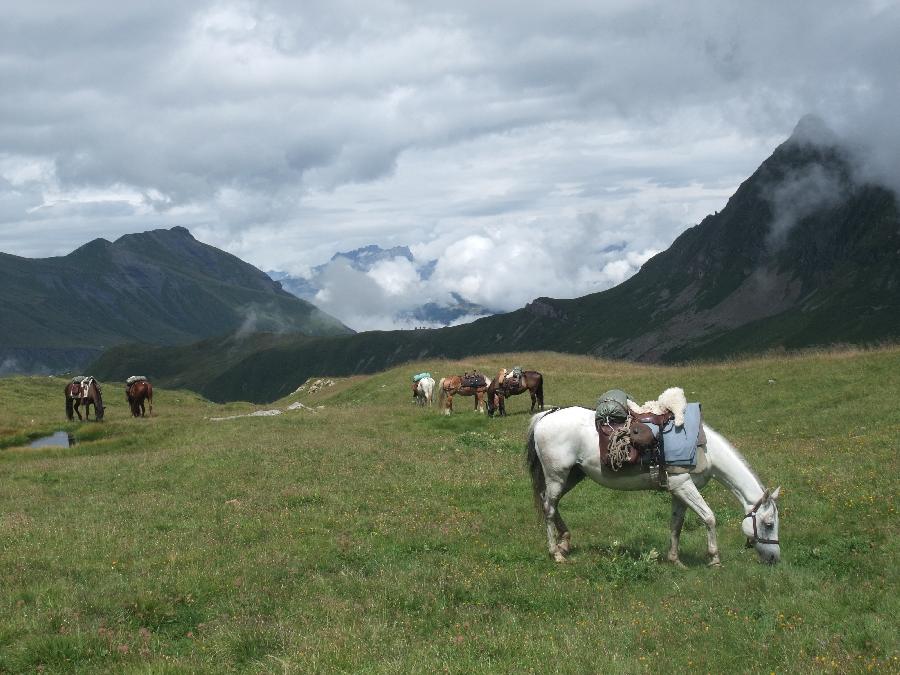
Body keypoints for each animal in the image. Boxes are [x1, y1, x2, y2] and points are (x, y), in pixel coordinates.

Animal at [528, 410, 780, 568]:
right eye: (769, 524)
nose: (774, 558)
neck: (704, 449)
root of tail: (545, 416)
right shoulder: (683, 485)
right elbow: (709, 517)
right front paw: (714, 559)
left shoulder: (679, 490)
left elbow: (676, 524)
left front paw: (675, 560)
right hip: (557, 476)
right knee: (549, 509)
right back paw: (556, 554)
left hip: (571, 476)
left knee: (550, 504)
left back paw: (564, 542)